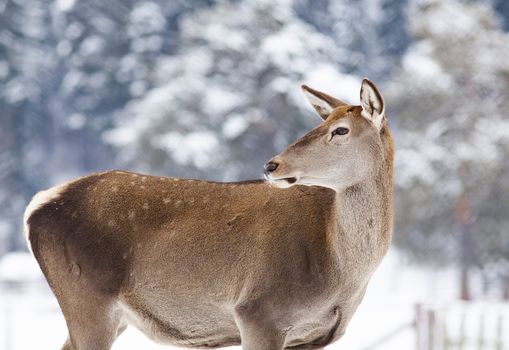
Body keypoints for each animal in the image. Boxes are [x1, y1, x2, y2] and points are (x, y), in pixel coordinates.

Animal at [23, 79, 392, 350]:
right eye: (324, 122)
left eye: (340, 129)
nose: (272, 165)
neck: (340, 274)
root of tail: (36, 207)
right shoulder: (259, 311)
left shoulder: (311, 337)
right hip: (87, 298)